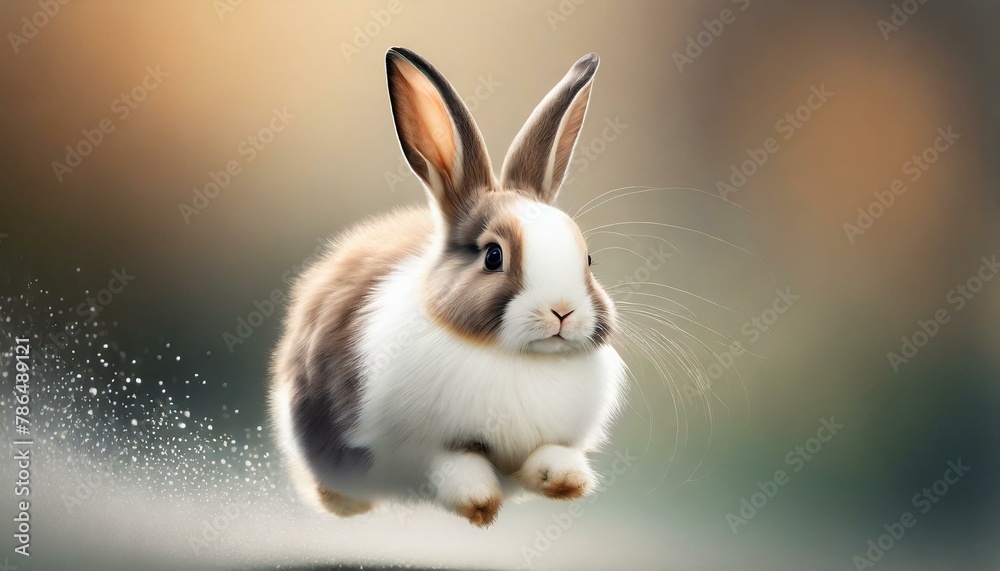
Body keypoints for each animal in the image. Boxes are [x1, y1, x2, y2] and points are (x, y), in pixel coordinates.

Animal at [270, 46, 625, 527]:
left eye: (587, 259)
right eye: (493, 256)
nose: (562, 311)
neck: (517, 360)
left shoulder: (551, 438)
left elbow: (550, 455)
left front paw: (569, 482)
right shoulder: (424, 448)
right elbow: (458, 465)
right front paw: (480, 505)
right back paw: (348, 503)